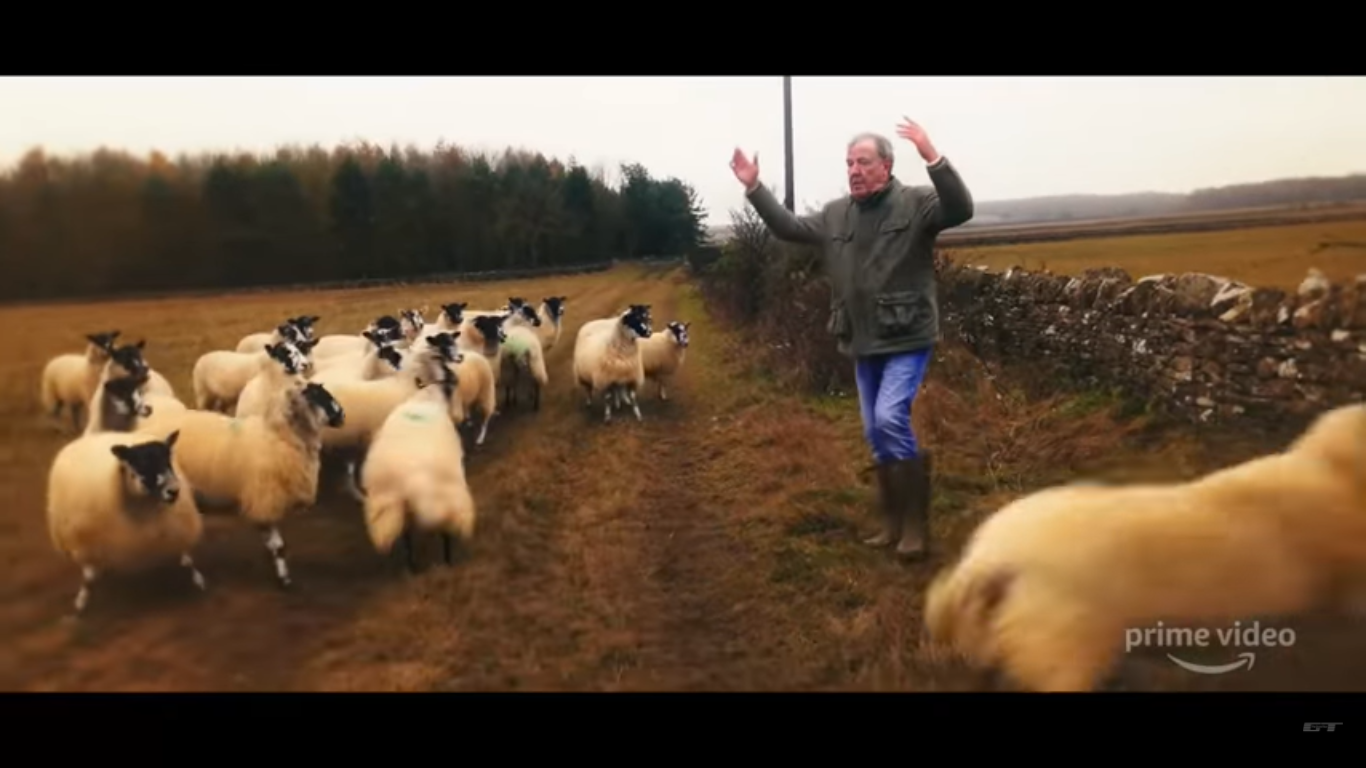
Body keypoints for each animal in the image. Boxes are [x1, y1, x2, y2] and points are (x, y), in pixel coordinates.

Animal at [45, 426, 203, 612]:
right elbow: (88, 579)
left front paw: (197, 579)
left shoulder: (177, 530)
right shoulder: (86, 545)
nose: (173, 491)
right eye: (141, 464)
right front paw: (81, 601)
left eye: (168, 462)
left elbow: (188, 559)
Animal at [136, 377, 346, 584]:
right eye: (316, 396)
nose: (342, 415)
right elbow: (278, 546)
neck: (280, 438)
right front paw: (284, 578)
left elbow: (273, 543)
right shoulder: (264, 500)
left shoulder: (262, 503)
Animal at [357, 347, 475, 568]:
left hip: (388, 506)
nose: (460, 417)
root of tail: (410, 481)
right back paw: (448, 562)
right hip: (447, 496)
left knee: (406, 537)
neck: (426, 396)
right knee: (445, 530)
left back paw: (412, 567)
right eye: (452, 380)